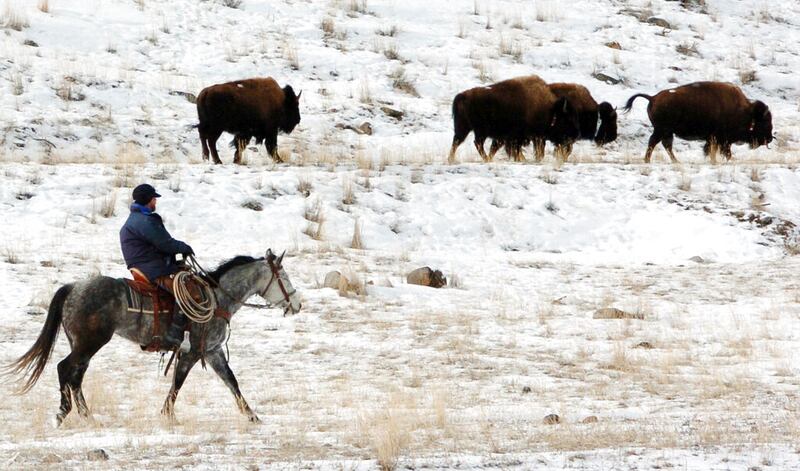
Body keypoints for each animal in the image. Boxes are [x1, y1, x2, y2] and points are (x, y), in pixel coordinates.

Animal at [448, 75, 580, 163]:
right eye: (566, 119)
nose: (574, 136)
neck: (549, 110)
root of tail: (462, 96)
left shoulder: (507, 138)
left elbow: (497, 148)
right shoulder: (523, 137)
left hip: (464, 128)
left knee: (457, 142)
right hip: (479, 131)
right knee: (476, 143)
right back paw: (484, 159)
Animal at [623, 81, 773, 163]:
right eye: (765, 122)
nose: (770, 138)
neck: (746, 112)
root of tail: (653, 97)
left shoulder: (715, 139)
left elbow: (712, 150)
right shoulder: (722, 139)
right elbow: (724, 151)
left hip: (667, 132)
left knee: (666, 145)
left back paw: (676, 162)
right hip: (661, 130)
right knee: (654, 143)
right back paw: (649, 160)